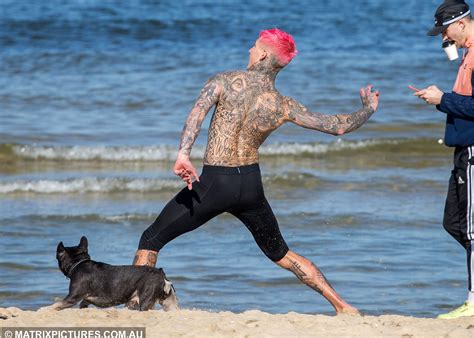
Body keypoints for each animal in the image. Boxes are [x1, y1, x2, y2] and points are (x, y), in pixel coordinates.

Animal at [39, 235, 178, 312]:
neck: (78, 263)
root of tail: (161, 274)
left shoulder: (72, 297)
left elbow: (57, 304)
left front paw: (44, 309)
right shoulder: (85, 298)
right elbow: (83, 303)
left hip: (146, 300)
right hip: (168, 302)